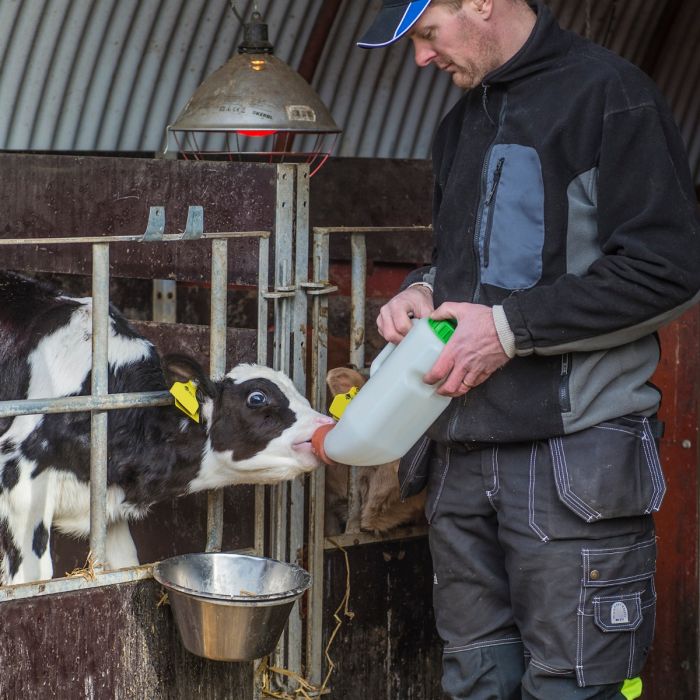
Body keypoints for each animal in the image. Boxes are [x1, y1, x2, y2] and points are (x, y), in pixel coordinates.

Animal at [0, 274, 334, 584]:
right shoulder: (18, 486)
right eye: (257, 398)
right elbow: (30, 582)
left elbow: (123, 568)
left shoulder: (108, 512)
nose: (326, 424)